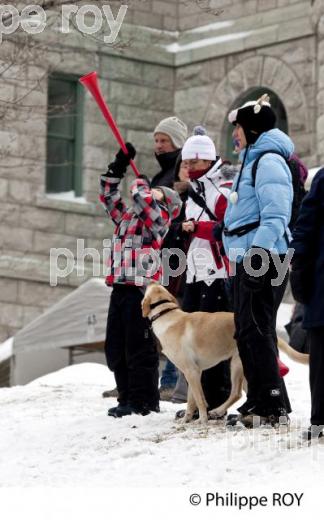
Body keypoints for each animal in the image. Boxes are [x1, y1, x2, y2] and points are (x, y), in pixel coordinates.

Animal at [142, 284, 308, 422]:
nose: (151, 279)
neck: (166, 315)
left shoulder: (191, 371)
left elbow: (199, 400)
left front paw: (202, 421)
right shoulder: (193, 373)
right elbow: (192, 400)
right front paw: (187, 420)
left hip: (237, 365)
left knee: (236, 393)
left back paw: (219, 411)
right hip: (246, 372)